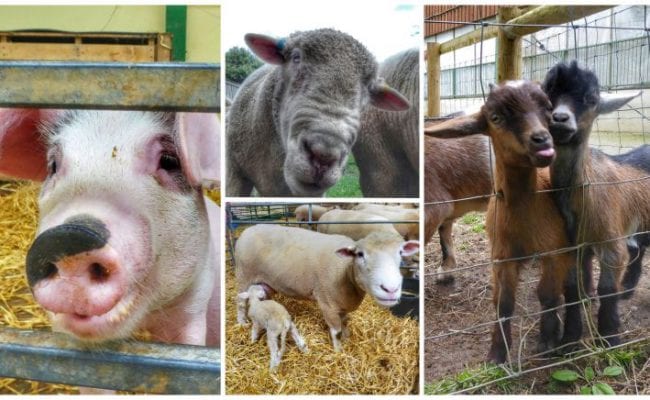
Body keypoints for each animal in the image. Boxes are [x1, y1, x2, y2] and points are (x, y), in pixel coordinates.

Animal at [235, 223, 418, 352]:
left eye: (400, 253)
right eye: (360, 254)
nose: (390, 289)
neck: (345, 271)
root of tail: (247, 230)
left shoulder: (341, 302)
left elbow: (345, 322)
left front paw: (347, 338)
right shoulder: (327, 303)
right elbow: (336, 331)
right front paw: (338, 351)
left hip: (267, 282)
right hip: (244, 275)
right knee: (240, 301)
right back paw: (242, 322)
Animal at [540, 61, 644, 346]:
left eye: (591, 99)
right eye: (547, 94)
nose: (559, 119)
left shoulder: (610, 242)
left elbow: (607, 288)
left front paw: (609, 336)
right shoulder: (571, 245)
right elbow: (571, 290)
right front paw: (570, 340)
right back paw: (627, 291)